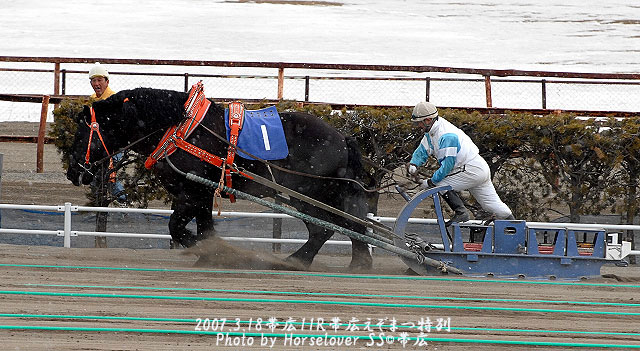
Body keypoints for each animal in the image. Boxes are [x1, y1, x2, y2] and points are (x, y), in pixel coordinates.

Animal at [66, 88, 376, 270]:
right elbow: (204, 228)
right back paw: (353, 262)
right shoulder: (201, 193)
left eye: (82, 133)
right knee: (349, 224)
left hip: (309, 193)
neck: (181, 128)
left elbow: (177, 227)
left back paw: (302, 260)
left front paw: (215, 252)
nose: (73, 171)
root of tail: (342, 137)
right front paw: (210, 255)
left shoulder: (194, 191)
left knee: (329, 227)